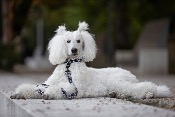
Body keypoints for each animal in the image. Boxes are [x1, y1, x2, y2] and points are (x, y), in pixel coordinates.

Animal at [10, 21, 172, 99]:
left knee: (143, 87)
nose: (74, 50)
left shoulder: (75, 87)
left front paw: (49, 94)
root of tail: (129, 73)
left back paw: (150, 93)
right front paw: (19, 93)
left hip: (118, 81)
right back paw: (116, 95)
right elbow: (34, 88)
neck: (69, 66)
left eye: (79, 41)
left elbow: (59, 89)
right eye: (68, 41)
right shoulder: (49, 83)